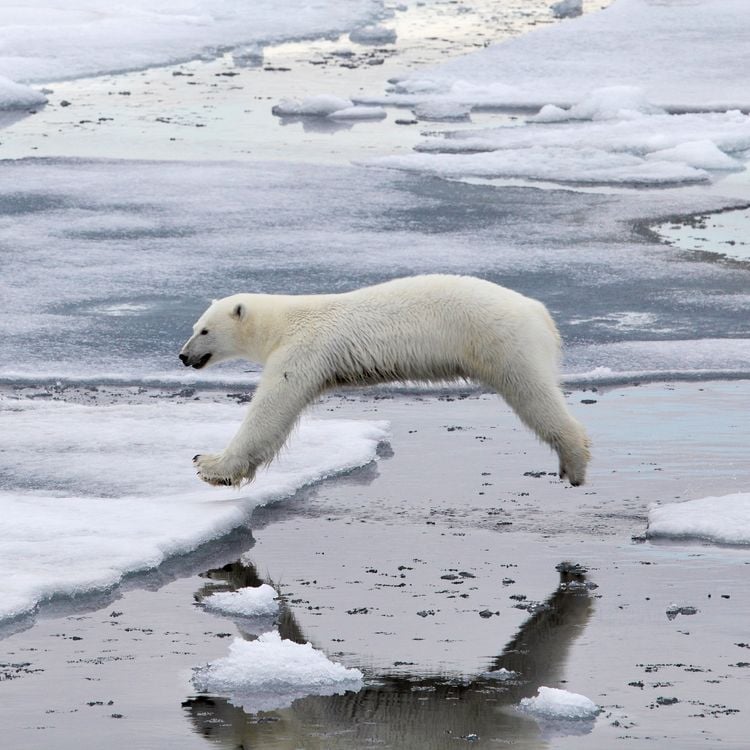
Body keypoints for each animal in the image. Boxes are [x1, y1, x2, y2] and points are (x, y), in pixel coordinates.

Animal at [179, 275, 591, 487]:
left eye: (204, 330)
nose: (183, 356)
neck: (283, 321)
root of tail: (540, 313)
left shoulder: (303, 349)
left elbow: (272, 406)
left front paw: (209, 463)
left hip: (503, 342)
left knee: (533, 394)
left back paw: (574, 462)